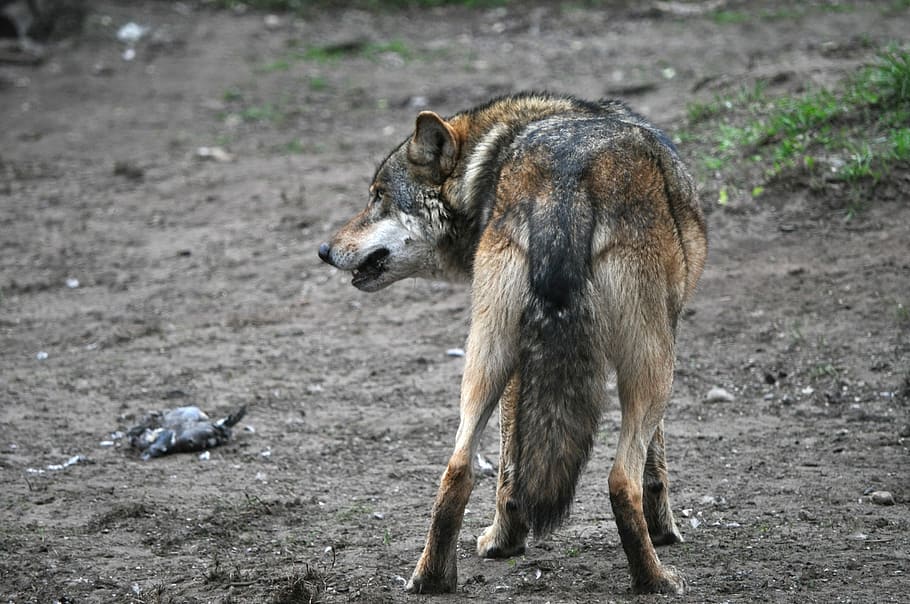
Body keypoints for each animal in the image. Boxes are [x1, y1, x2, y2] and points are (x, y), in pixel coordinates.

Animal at [318, 92, 707, 595]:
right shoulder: (665, 333)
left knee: (458, 468)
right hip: (655, 370)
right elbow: (653, 464)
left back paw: (435, 577)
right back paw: (655, 580)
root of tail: (567, 182)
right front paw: (665, 531)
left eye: (378, 196)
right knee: (621, 479)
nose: (323, 251)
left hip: (487, 357)